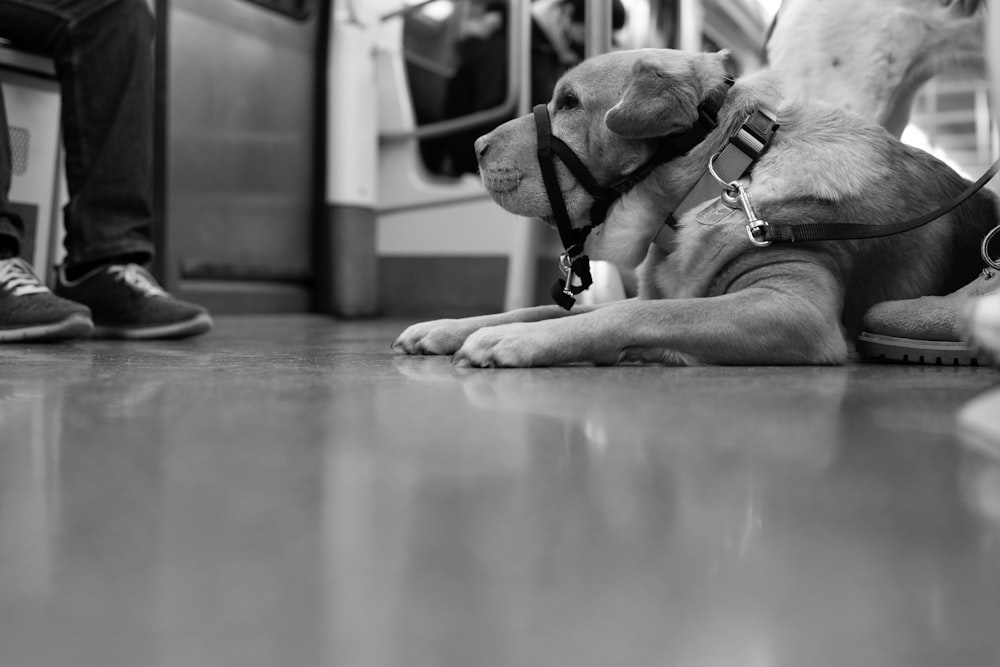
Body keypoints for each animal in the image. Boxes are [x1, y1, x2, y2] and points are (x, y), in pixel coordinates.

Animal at [392, 49, 1000, 368]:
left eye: (569, 103)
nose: (474, 146)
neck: (722, 183)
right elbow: (542, 308)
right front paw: (453, 327)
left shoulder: (793, 308)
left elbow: (629, 314)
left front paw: (519, 342)